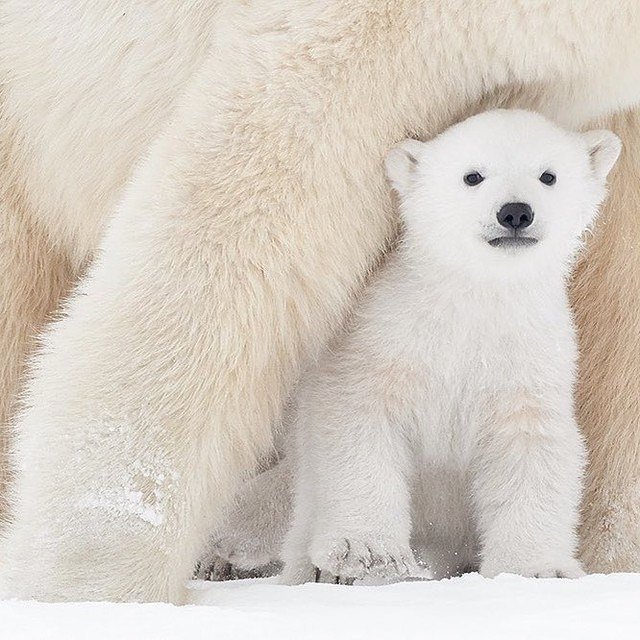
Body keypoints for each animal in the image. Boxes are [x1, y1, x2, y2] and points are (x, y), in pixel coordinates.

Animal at [0, 0, 636, 600]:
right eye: (472, 177)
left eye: (550, 177)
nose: (515, 213)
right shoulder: (375, 36)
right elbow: (249, 209)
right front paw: (96, 586)